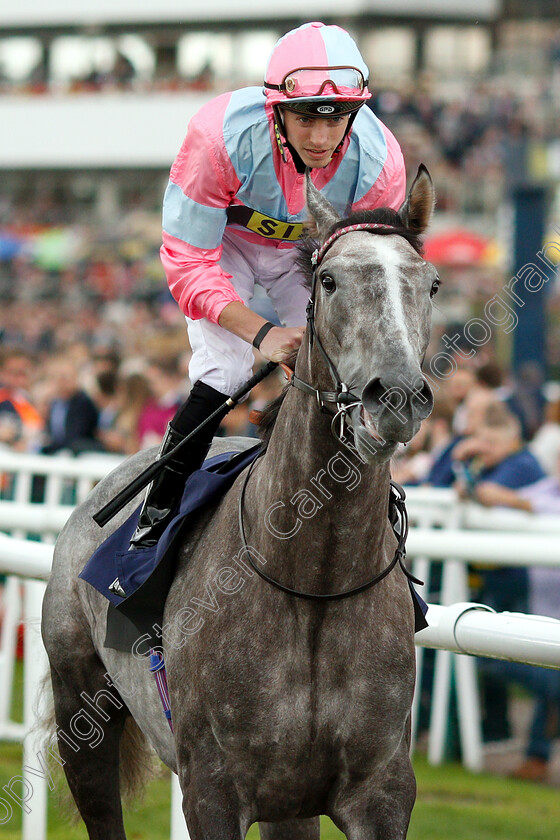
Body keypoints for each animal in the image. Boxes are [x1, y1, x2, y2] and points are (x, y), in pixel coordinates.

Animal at [42, 166, 438, 840]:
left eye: (430, 283)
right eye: (329, 281)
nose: (397, 396)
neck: (314, 581)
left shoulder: (382, 793)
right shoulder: (212, 789)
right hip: (81, 709)